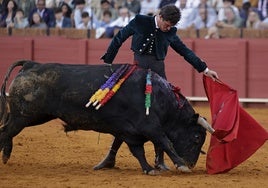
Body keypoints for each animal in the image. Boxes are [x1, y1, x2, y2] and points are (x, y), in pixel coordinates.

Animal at [0, 61, 208, 174]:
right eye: (197, 137)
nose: (192, 163)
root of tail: (30, 64)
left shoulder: (130, 132)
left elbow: (138, 151)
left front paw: (149, 169)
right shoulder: (151, 127)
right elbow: (166, 143)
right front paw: (181, 165)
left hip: (35, 116)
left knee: (5, 130)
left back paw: (5, 155)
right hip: (25, 116)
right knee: (7, 131)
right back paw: (5, 155)